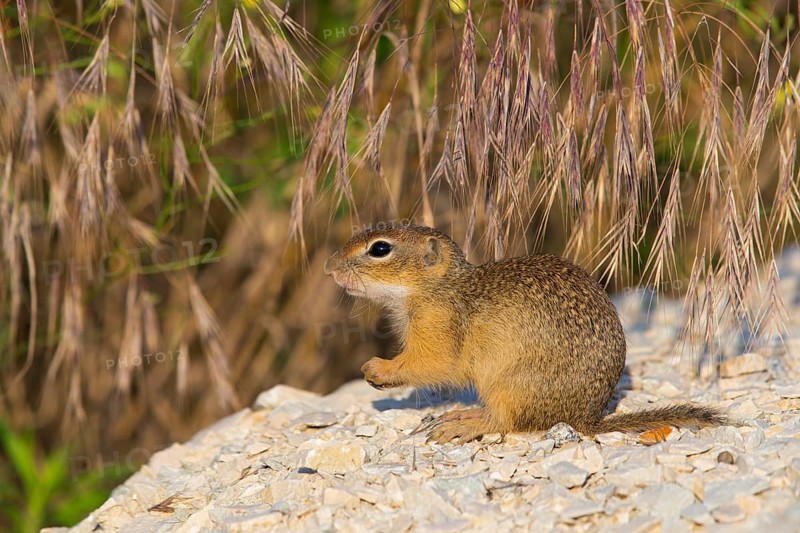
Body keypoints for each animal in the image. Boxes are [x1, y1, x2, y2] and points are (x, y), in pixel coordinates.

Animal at [324, 224, 728, 443]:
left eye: (380, 248)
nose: (328, 267)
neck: (439, 287)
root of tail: (587, 419)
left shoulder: (437, 325)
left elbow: (432, 365)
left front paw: (377, 369)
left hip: (509, 385)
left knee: (505, 422)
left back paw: (464, 422)